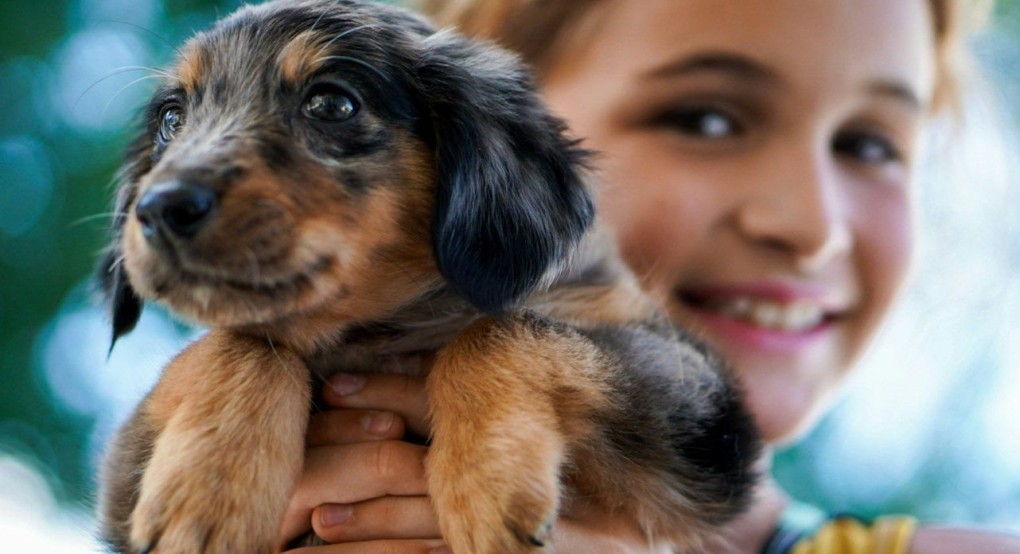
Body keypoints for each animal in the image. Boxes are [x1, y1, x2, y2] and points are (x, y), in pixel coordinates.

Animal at [97, 2, 758, 550]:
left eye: (331, 104)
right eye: (172, 118)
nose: (160, 208)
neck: (384, 327)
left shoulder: (700, 418)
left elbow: (503, 329)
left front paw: (487, 481)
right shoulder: (122, 480)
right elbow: (238, 341)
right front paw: (206, 492)